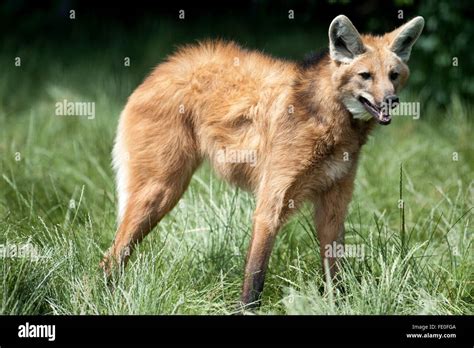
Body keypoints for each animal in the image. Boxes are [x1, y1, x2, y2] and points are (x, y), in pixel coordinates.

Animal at [99, 14, 422, 308]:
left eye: (393, 75)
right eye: (365, 75)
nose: (391, 100)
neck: (328, 119)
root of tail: (162, 68)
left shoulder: (333, 202)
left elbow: (334, 269)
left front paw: (339, 305)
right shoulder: (272, 200)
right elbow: (255, 277)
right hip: (161, 189)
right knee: (111, 257)